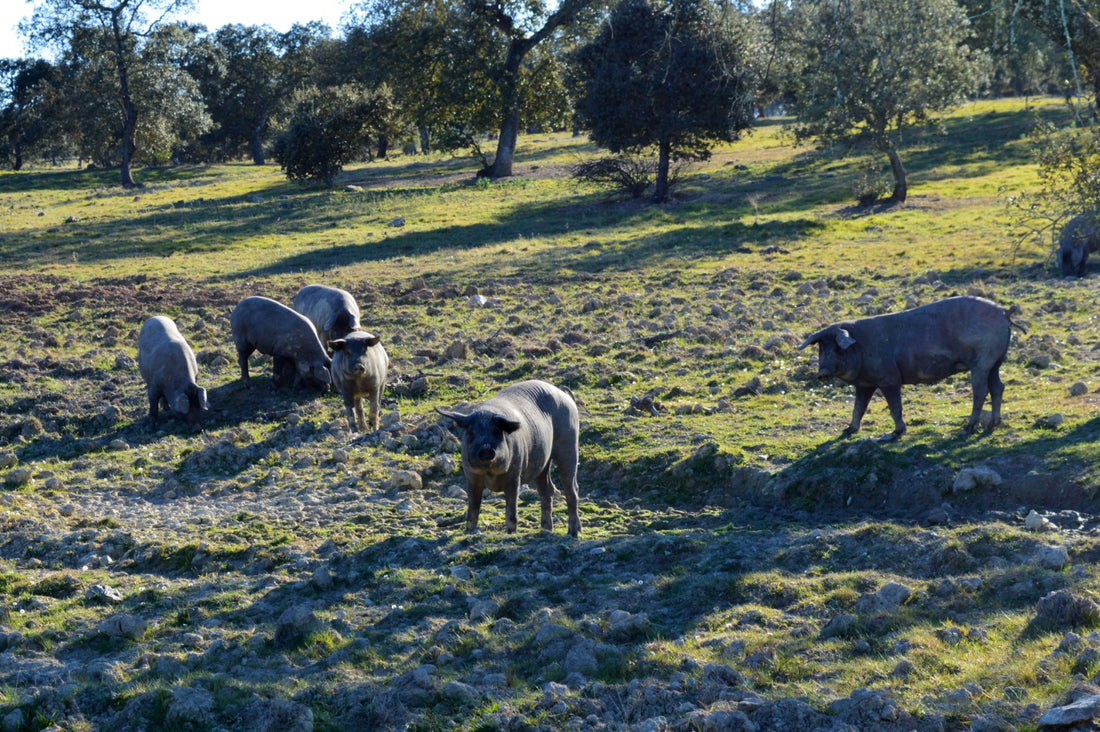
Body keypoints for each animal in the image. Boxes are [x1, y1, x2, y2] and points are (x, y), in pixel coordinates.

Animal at [433, 383, 585, 537]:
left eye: (497, 432)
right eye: (471, 433)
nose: (486, 449)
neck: (490, 473)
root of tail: (563, 394)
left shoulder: (514, 475)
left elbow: (512, 508)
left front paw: (511, 533)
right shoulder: (471, 478)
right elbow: (473, 509)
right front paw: (469, 531)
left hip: (569, 445)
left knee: (572, 489)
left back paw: (573, 533)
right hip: (543, 463)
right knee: (547, 490)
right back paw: (546, 530)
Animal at [800, 295, 1020, 440]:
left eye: (837, 347)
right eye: (821, 347)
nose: (822, 373)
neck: (861, 346)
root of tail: (1004, 312)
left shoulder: (889, 379)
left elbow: (894, 407)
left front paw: (896, 433)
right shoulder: (864, 385)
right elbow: (858, 408)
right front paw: (847, 431)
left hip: (982, 360)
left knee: (980, 391)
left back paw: (967, 429)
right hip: (996, 361)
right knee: (998, 387)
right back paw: (992, 425)